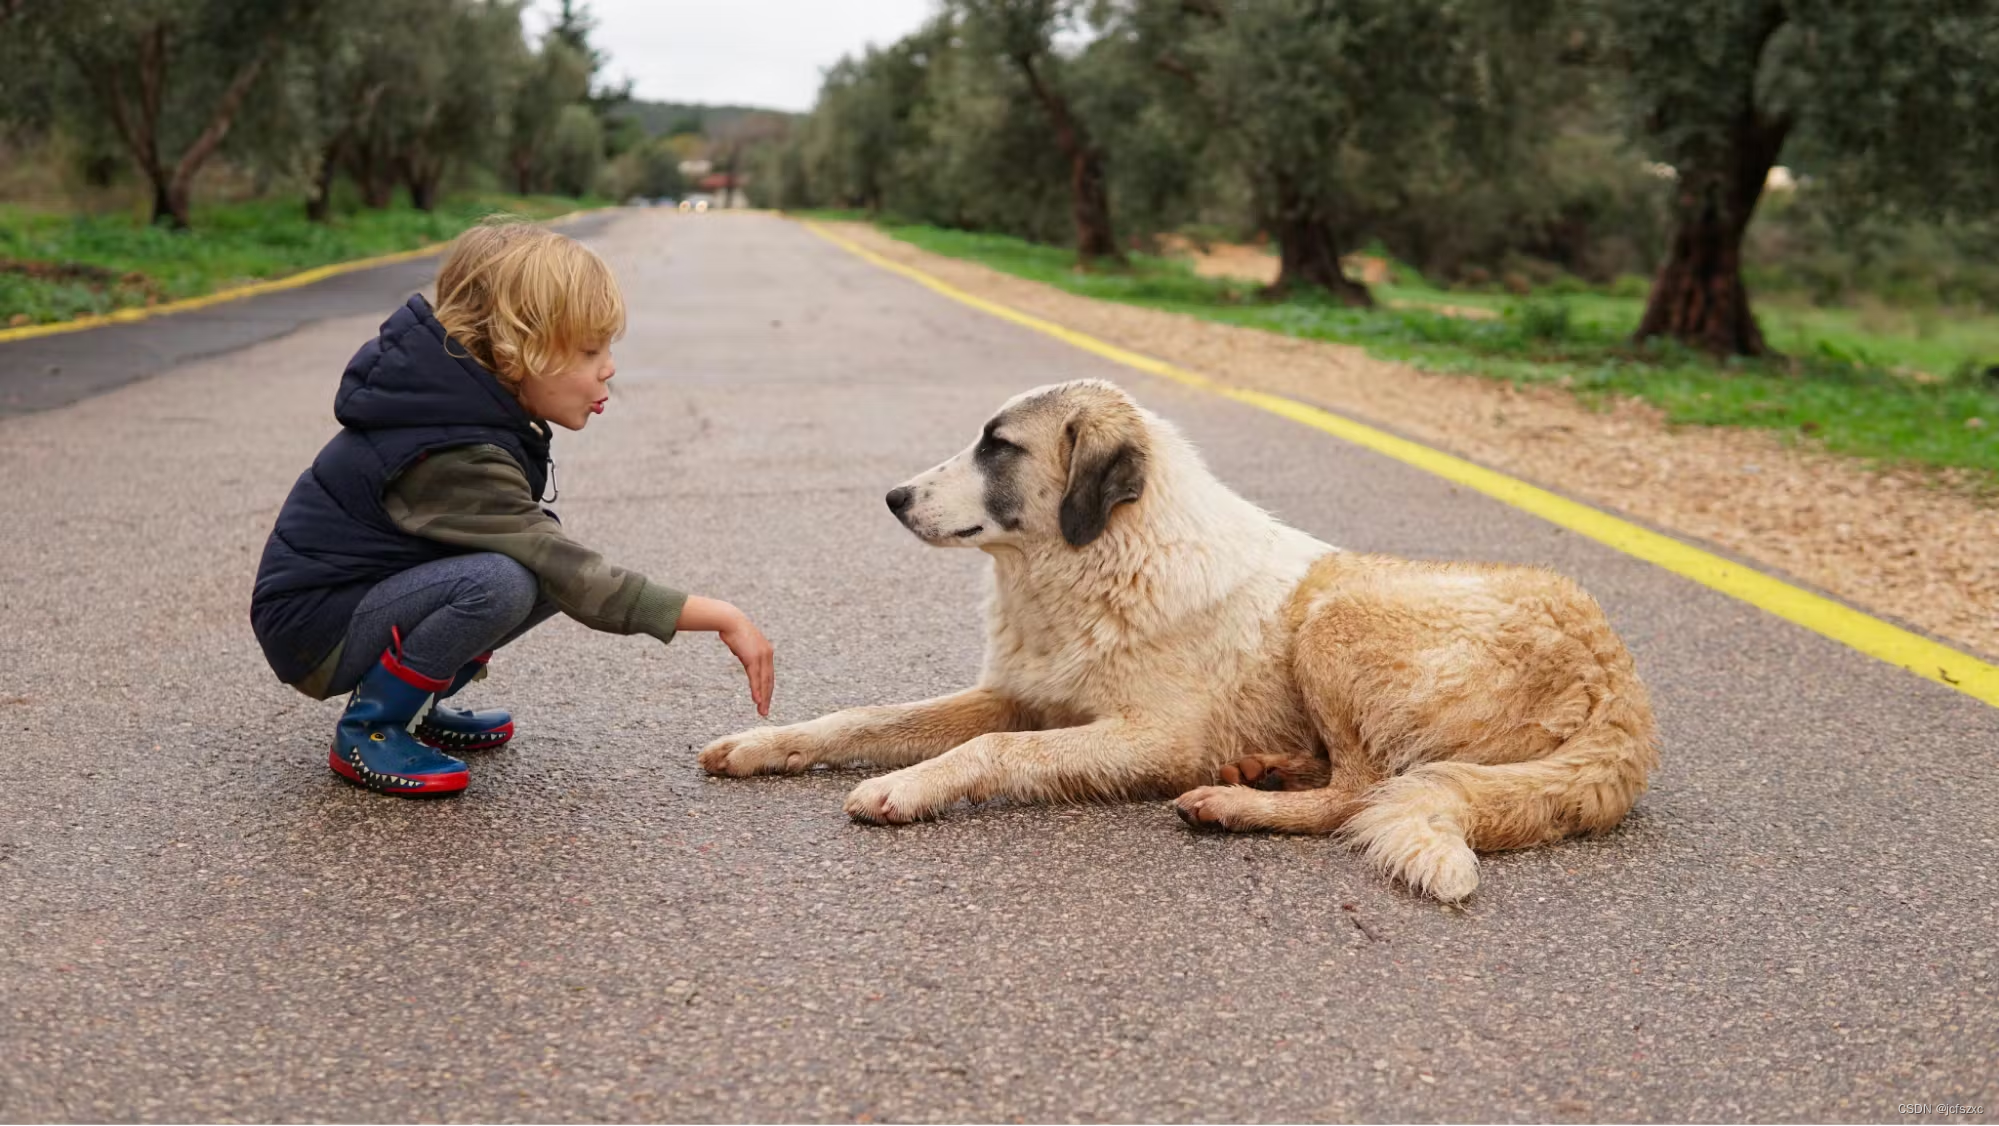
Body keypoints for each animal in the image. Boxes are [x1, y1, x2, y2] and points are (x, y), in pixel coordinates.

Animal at [703, 384, 1655, 904]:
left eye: (997, 446)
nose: (894, 497)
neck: (1096, 560)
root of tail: (1621, 684)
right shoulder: (1017, 692)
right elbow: (865, 716)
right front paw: (765, 743)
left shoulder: (1150, 738)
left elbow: (994, 749)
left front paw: (904, 787)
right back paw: (1264, 771)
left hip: (1334, 617)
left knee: (1361, 793)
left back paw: (1234, 803)